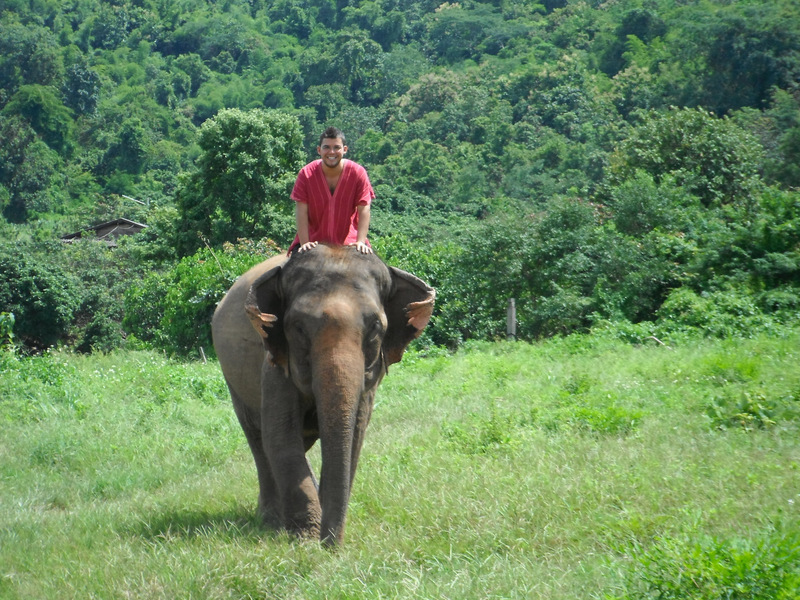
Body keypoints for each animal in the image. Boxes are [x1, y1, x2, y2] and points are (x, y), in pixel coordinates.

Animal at [211, 244, 435, 546]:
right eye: (298, 327)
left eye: (375, 328)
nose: (330, 547)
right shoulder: (274, 362)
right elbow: (281, 437)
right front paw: (306, 539)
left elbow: (355, 435)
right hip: (233, 380)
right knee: (259, 440)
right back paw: (270, 521)